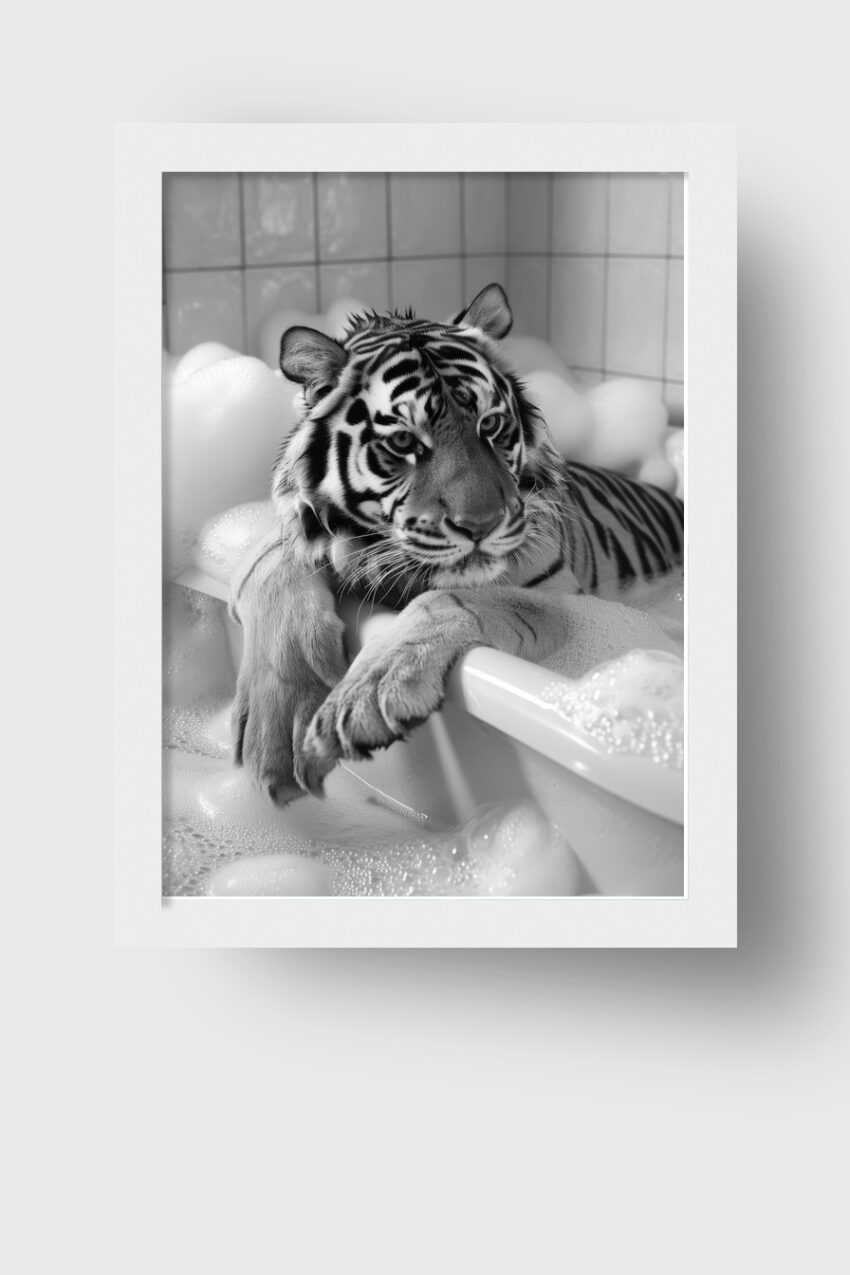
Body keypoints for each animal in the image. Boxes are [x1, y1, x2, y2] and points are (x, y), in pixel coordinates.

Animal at [230, 283, 684, 804]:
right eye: (403, 442)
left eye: (490, 425)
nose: (481, 524)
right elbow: (271, 566)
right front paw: (281, 729)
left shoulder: (564, 598)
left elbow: (450, 599)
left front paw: (369, 693)